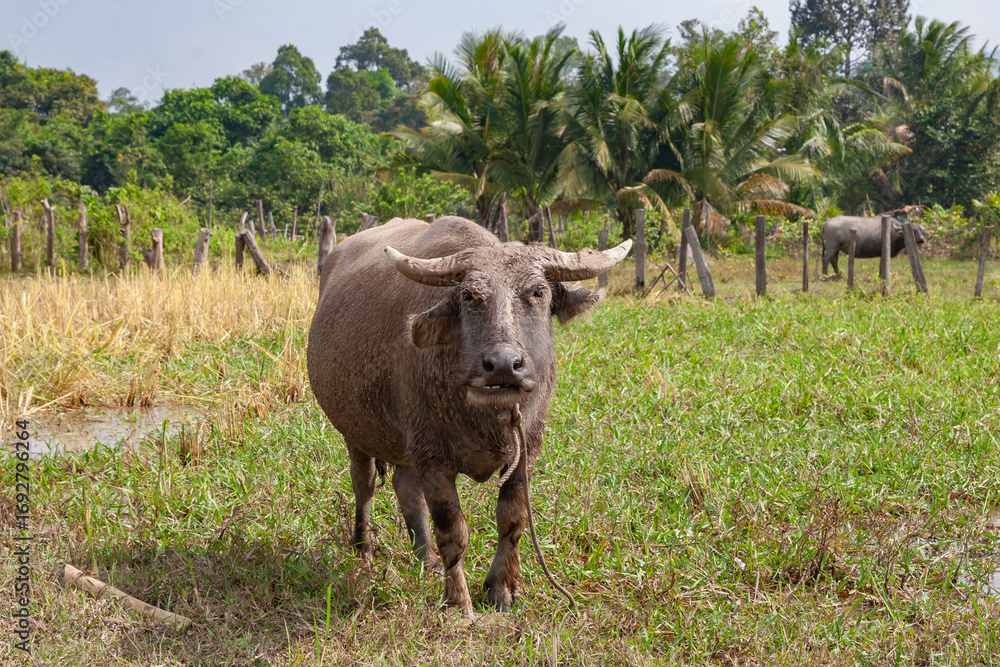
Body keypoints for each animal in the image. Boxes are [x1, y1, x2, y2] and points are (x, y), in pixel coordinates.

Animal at [307, 216, 630, 615]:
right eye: (469, 296)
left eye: (539, 292)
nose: (503, 365)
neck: (484, 417)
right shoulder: (433, 458)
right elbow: (454, 532)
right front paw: (459, 603)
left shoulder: (526, 449)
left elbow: (512, 518)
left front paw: (502, 590)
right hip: (356, 432)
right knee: (363, 485)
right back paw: (363, 552)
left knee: (405, 487)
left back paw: (426, 559)